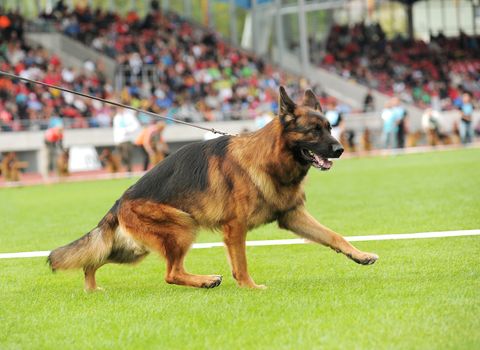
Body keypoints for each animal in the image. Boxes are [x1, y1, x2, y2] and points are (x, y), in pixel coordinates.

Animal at [48, 87, 378, 290]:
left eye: (330, 128)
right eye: (313, 131)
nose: (340, 149)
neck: (269, 159)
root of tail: (120, 201)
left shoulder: (292, 216)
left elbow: (334, 236)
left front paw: (359, 255)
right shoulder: (235, 228)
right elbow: (241, 263)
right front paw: (250, 287)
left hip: (133, 249)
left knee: (92, 260)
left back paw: (92, 288)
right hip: (182, 227)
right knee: (171, 273)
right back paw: (206, 281)